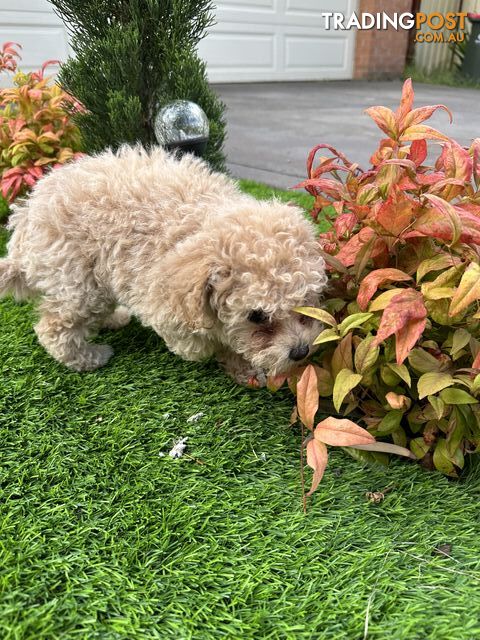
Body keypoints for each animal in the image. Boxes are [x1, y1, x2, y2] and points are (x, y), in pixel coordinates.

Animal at [0, 146, 326, 384]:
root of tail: (25, 215)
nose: (301, 351)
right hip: (77, 279)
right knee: (54, 327)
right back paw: (88, 358)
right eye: (256, 316)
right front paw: (239, 361)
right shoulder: (167, 308)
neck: (197, 227)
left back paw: (113, 319)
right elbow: (213, 342)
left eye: (306, 301)